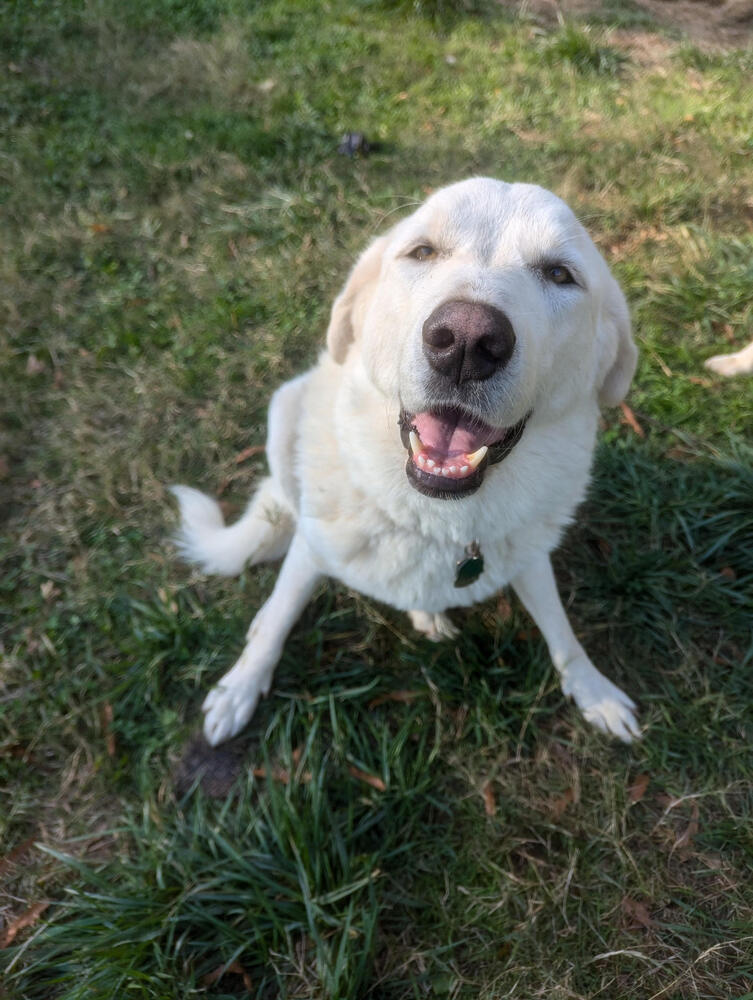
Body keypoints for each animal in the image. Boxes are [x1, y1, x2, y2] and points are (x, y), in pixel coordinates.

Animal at [172, 178, 640, 744]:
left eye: (559, 274)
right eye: (422, 252)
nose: (466, 341)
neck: (440, 521)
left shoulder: (528, 558)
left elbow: (563, 635)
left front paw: (593, 691)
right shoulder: (310, 551)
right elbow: (275, 620)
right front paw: (240, 686)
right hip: (283, 410)